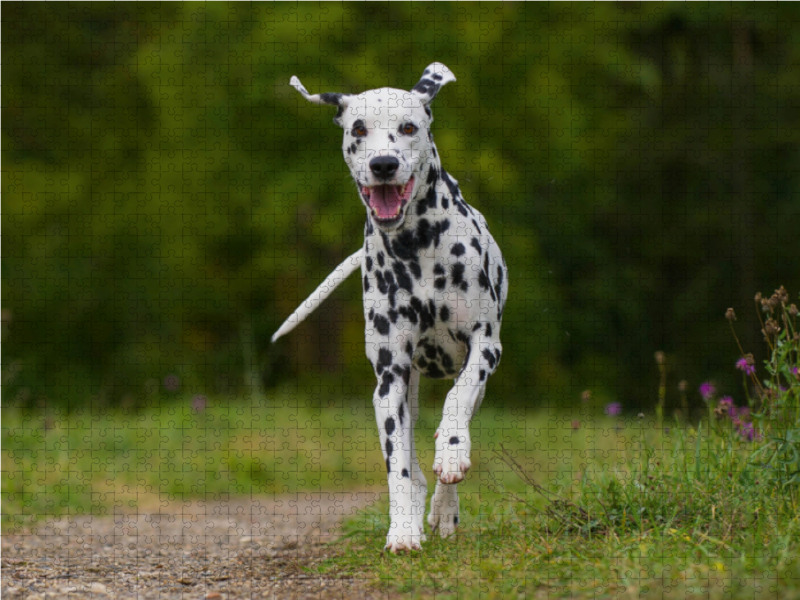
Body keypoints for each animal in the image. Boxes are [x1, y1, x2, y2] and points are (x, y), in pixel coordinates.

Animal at [270, 63, 506, 556]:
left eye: (409, 128)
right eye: (359, 129)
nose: (383, 164)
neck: (415, 246)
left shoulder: (485, 345)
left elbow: (457, 399)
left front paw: (451, 451)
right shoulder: (389, 378)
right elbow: (397, 464)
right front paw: (402, 530)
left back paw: (444, 507)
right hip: (407, 390)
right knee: (412, 459)